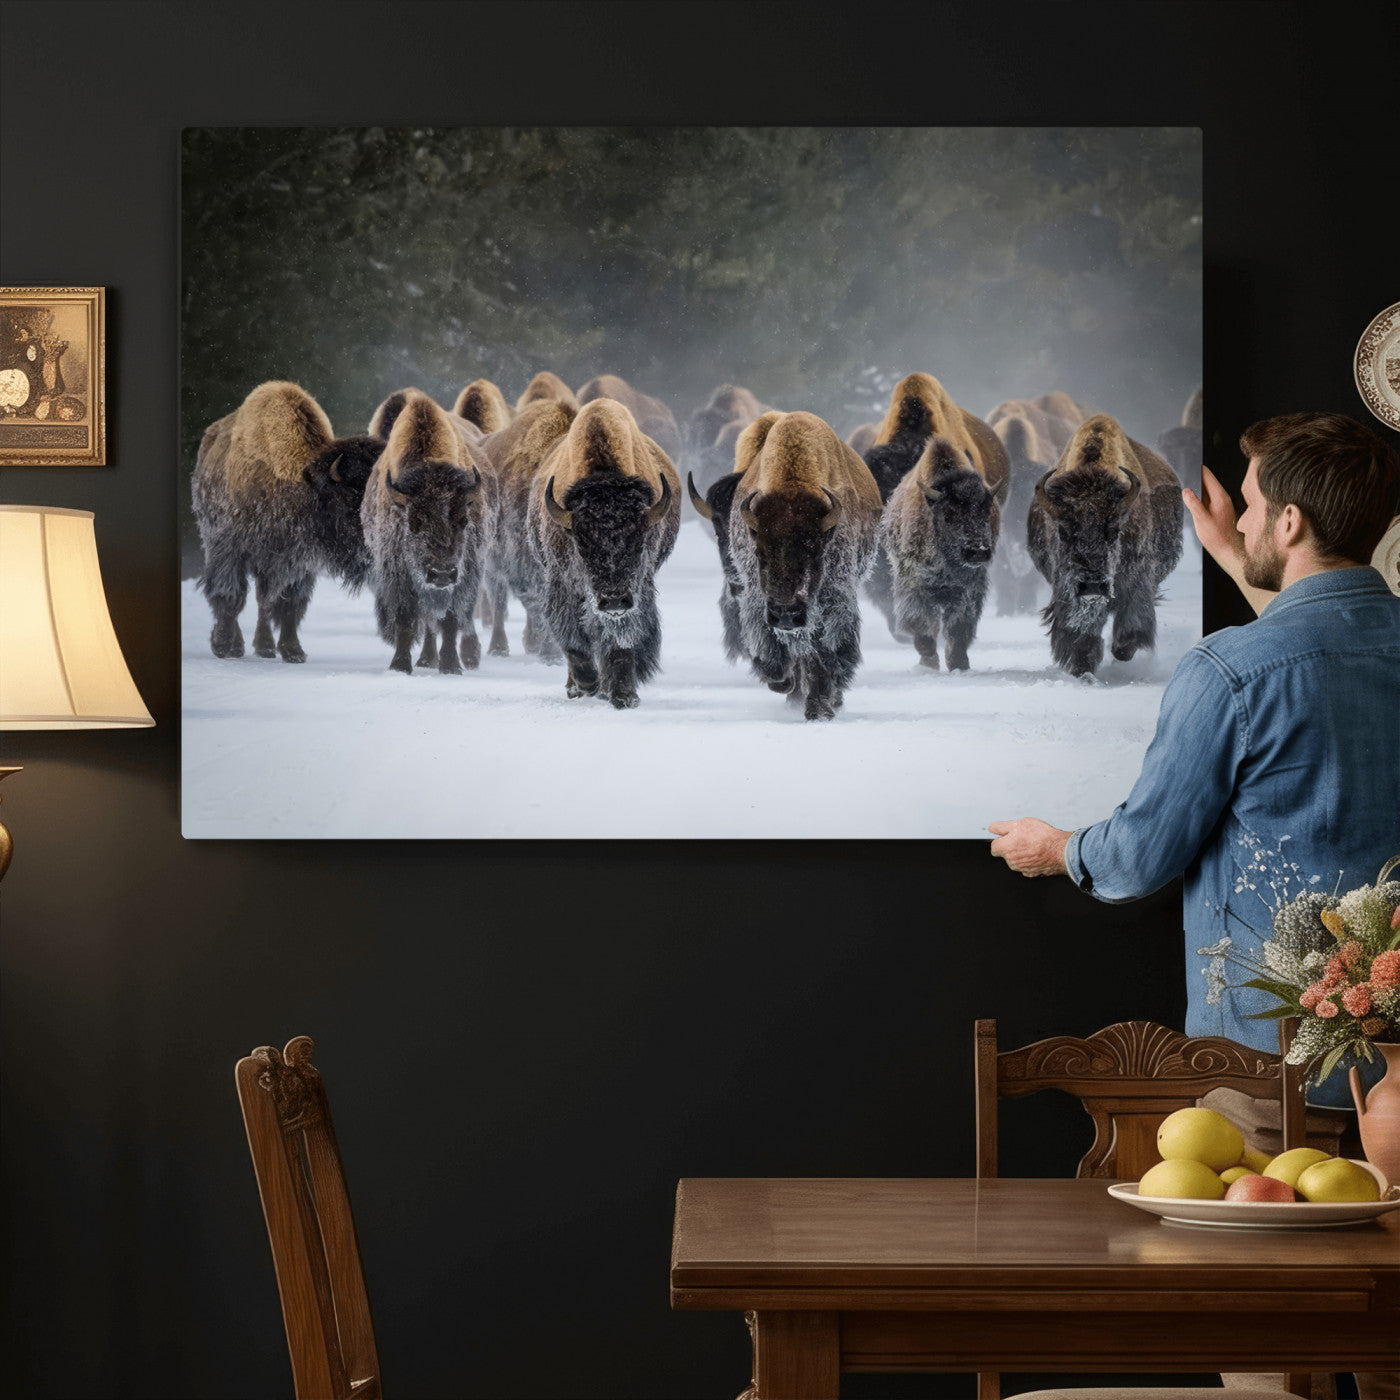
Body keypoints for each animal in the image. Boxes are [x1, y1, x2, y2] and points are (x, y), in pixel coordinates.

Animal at [729, 411, 883, 720]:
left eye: (815, 551)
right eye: (760, 552)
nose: (786, 614)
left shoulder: (830, 602)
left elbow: (822, 652)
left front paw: (819, 709)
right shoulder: (758, 599)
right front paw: (782, 682)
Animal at [1028, 414, 1183, 677]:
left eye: (1113, 531)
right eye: (1063, 531)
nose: (1092, 585)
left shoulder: (1137, 580)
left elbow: (1132, 619)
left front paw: (1122, 649)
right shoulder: (1067, 589)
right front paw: (1083, 667)